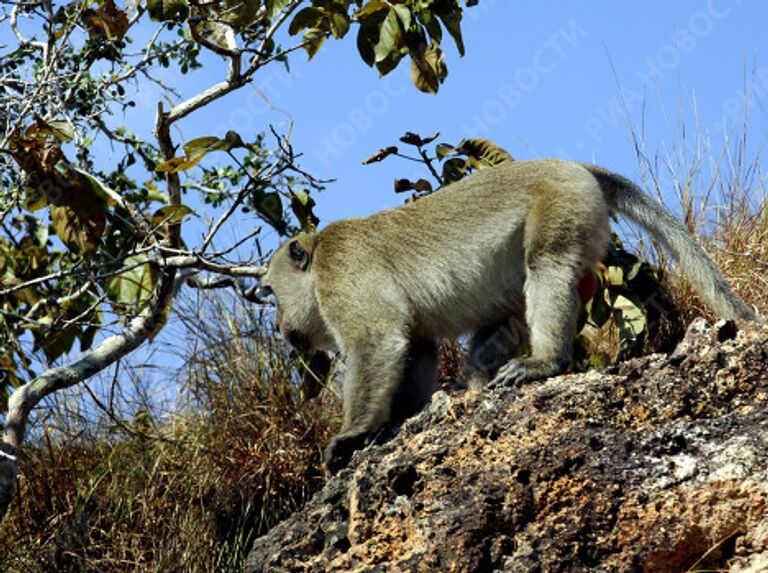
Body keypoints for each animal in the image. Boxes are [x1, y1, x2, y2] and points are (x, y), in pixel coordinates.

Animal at [258, 159, 756, 472]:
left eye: (274, 294)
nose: (281, 326)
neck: (320, 254)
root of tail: (576, 167)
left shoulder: (342, 272)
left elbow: (377, 339)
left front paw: (355, 433)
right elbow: (415, 347)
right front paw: (398, 422)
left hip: (563, 206)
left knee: (548, 266)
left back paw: (545, 362)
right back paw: (475, 385)